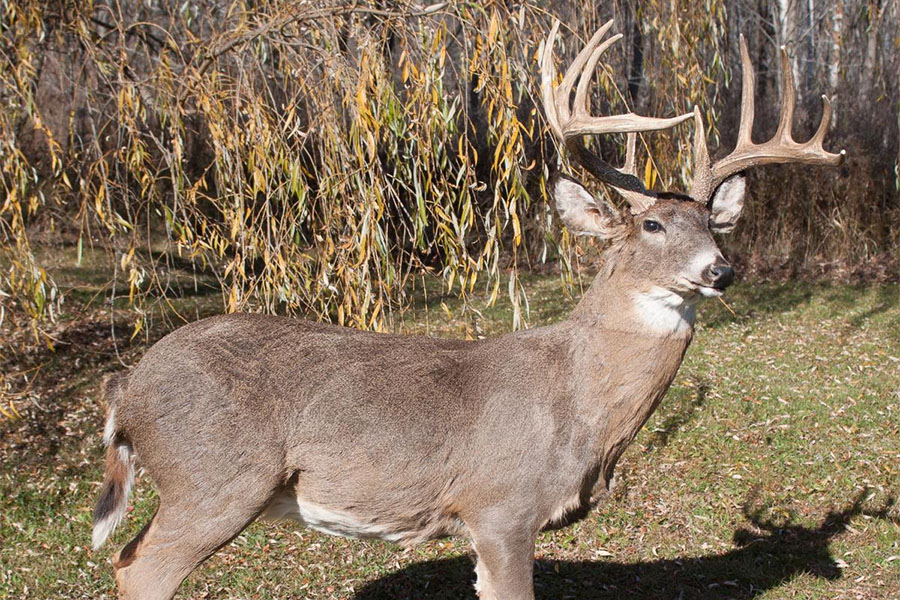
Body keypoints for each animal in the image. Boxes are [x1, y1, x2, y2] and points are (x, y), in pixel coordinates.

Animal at [92, 19, 844, 600]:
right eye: (653, 225)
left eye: (715, 226)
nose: (721, 270)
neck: (581, 407)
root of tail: (127, 387)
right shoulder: (501, 505)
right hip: (215, 481)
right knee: (140, 570)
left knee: (125, 558)